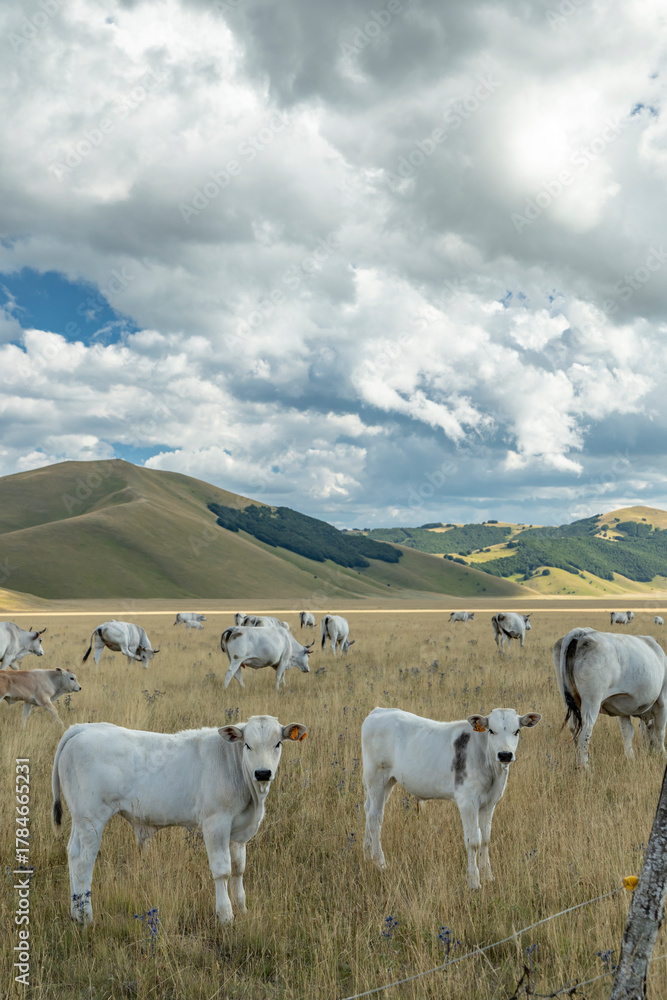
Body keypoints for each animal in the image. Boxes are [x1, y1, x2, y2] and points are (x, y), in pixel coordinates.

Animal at [51, 715, 308, 926]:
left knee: (73, 854)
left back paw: (76, 913)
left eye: (277, 744)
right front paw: (226, 915)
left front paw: (242, 908)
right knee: (84, 862)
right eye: (247, 745)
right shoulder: (216, 824)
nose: (263, 773)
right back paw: (87, 917)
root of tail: (83, 728)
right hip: (92, 819)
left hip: (80, 820)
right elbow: (222, 870)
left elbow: (238, 869)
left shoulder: (239, 833)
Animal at [362, 706, 541, 887]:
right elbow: (473, 840)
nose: (505, 754)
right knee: (375, 817)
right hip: (376, 777)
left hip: (387, 782)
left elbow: (485, 839)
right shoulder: (467, 801)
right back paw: (380, 863)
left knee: (368, 811)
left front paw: (488, 876)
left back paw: (368, 855)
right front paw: (474, 881)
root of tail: (380, 711)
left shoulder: (490, 803)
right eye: (491, 730)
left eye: (517, 731)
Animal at [553, 627, 667, 768]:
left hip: (569, 699)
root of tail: (582, 633)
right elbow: (660, 730)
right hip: (592, 701)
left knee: (574, 728)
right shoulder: (662, 700)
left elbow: (628, 732)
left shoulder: (623, 710)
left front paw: (630, 758)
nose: (651, 752)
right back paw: (585, 766)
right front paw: (663, 755)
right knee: (585, 730)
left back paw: (578, 763)